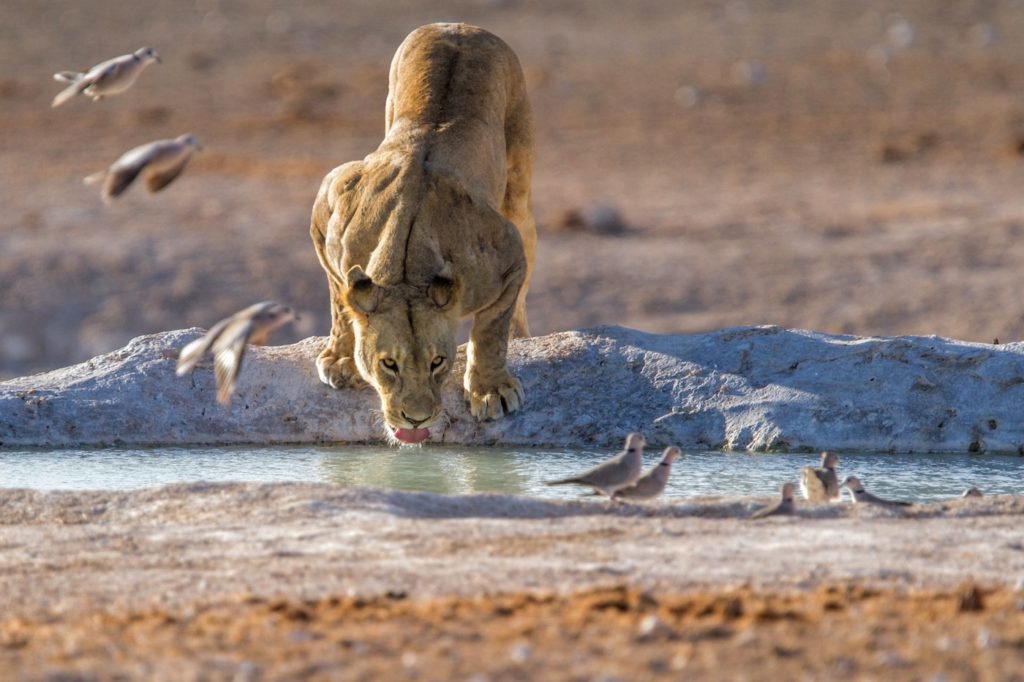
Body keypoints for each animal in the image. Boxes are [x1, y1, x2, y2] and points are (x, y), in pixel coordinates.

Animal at [309, 23, 537, 444]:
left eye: (438, 362)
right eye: (388, 364)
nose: (415, 420)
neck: (404, 266)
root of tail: (461, 25)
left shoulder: (506, 252)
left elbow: (491, 329)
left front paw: (490, 389)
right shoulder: (329, 203)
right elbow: (340, 299)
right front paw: (341, 357)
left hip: (519, 189)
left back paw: (522, 336)